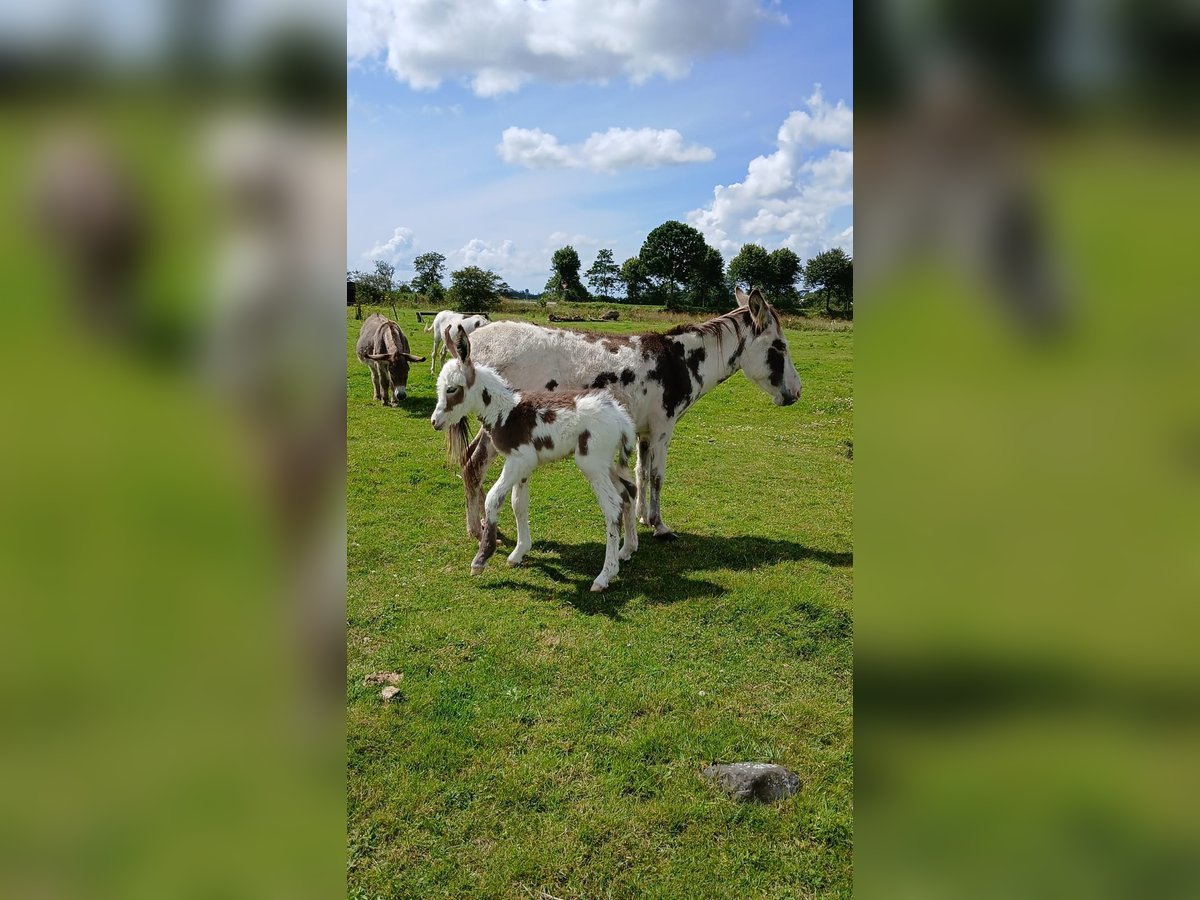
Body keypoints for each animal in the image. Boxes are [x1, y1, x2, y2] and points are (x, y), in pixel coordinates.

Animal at [432, 324, 638, 592]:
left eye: (451, 389)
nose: (435, 421)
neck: (506, 411)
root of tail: (621, 418)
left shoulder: (517, 461)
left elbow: (493, 499)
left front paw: (481, 558)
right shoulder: (523, 466)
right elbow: (518, 503)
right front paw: (519, 552)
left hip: (592, 465)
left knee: (612, 507)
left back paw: (604, 576)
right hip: (609, 465)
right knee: (629, 491)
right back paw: (627, 550)